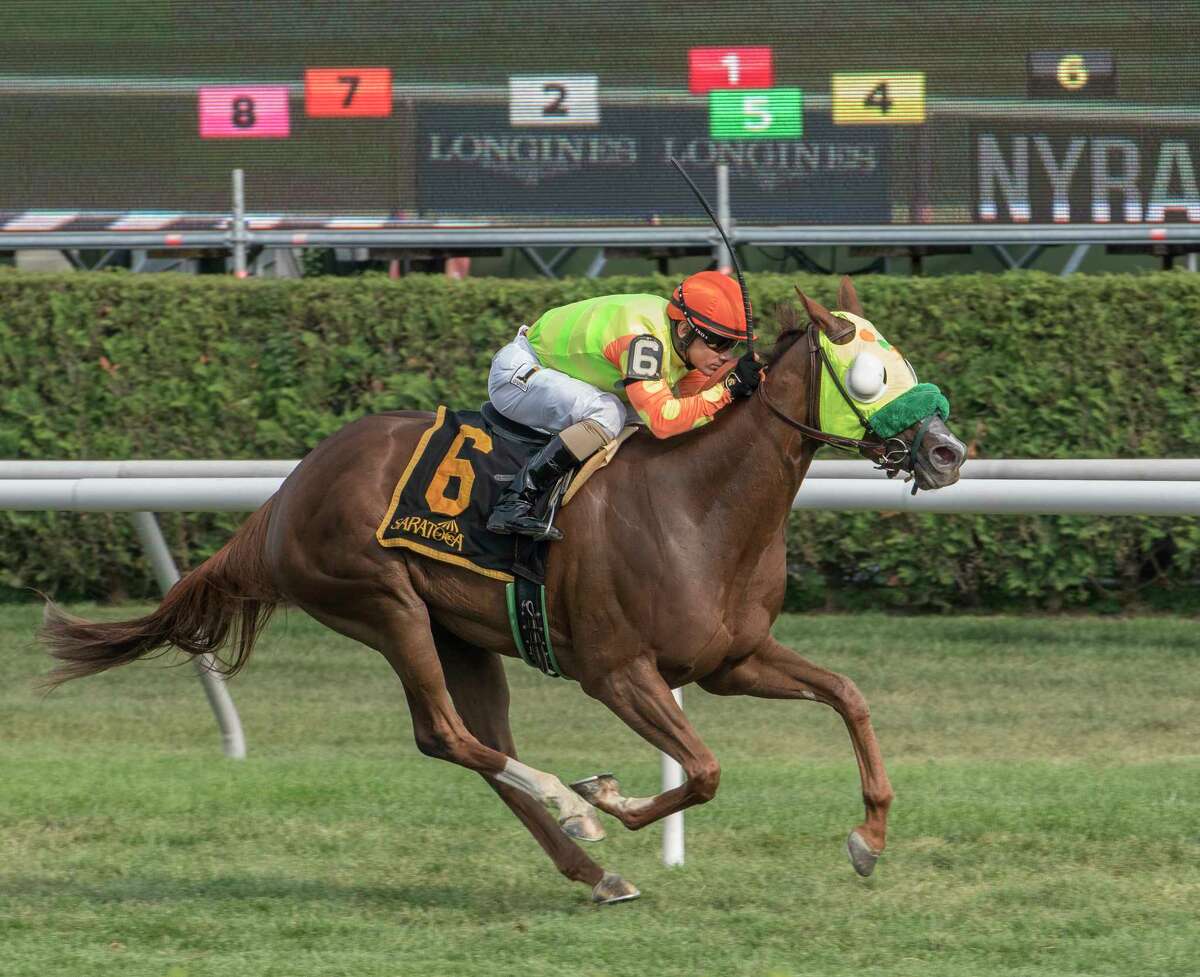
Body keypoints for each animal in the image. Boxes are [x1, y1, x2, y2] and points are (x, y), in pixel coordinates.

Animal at [42, 276, 969, 902]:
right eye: (867, 375)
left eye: (902, 360)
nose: (947, 451)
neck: (699, 501)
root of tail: (286, 493)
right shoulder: (615, 671)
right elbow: (703, 769)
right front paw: (606, 794)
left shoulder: (730, 659)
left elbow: (847, 695)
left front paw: (868, 836)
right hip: (385, 605)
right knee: (448, 735)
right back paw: (573, 810)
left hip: (463, 636)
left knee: (474, 742)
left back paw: (593, 871)